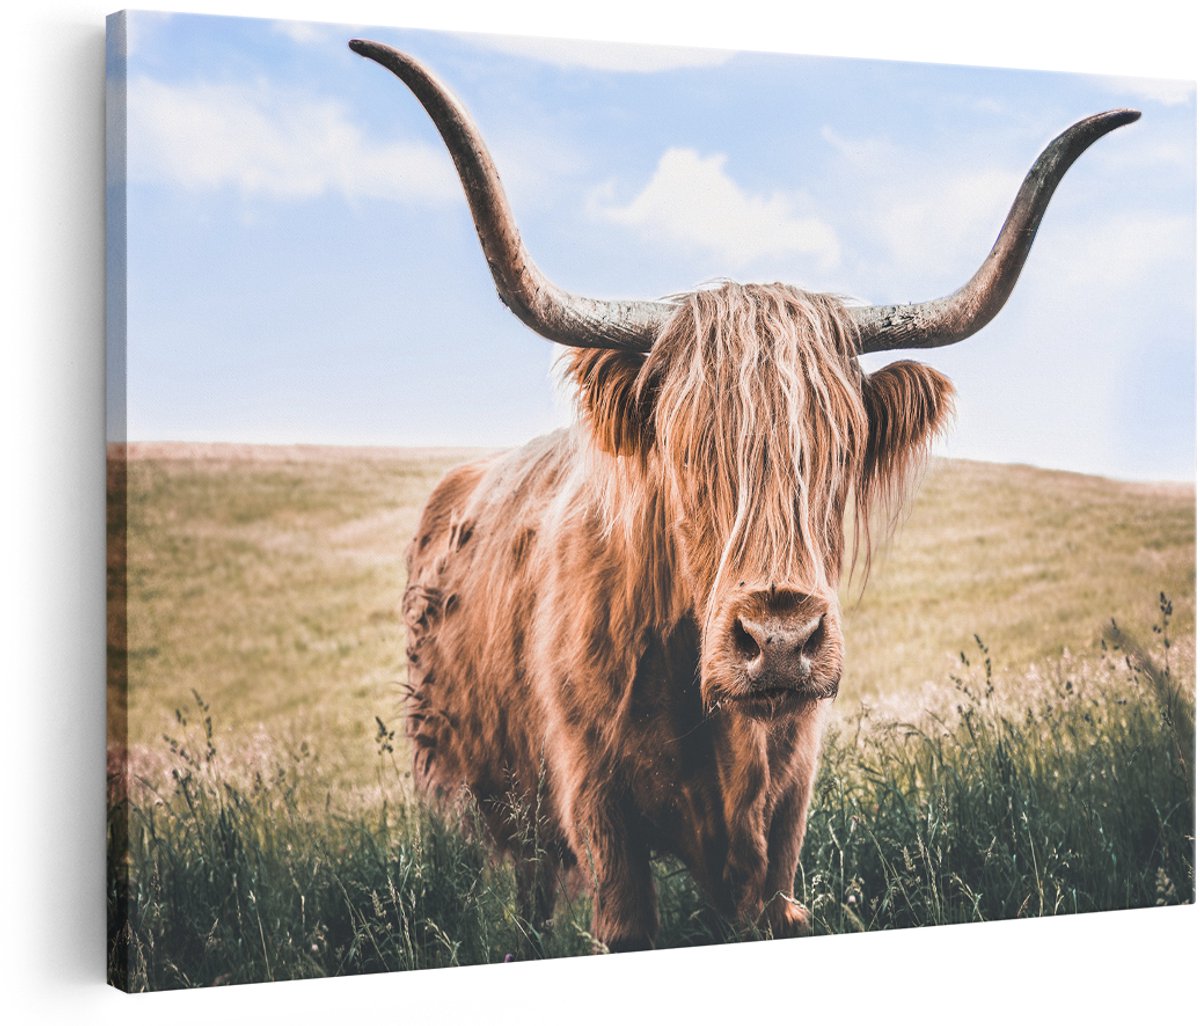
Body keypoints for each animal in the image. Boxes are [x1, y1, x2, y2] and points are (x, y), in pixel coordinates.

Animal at [349, 38, 1137, 952]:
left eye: (839, 449)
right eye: (685, 449)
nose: (781, 640)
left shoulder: (784, 812)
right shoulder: (596, 808)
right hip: (497, 805)